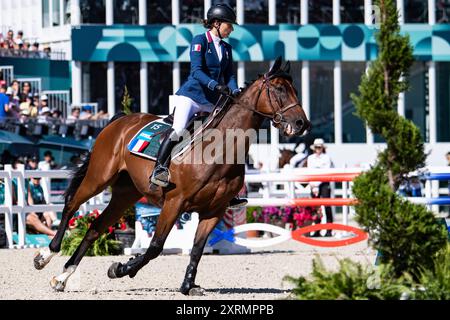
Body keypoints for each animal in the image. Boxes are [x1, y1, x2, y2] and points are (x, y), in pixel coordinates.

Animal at [33, 57, 312, 296]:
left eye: (295, 90)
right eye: (279, 89)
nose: (302, 124)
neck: (221, 150)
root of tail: (119, 121)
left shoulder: (214, 210)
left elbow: (197, 250)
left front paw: (188, 285)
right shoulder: (174, 203)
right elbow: (155, 247)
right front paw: (120, 268)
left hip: (125, 193)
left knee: (95, 227)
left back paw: (62, 277)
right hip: (98, 178)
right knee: (71, 205)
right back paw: (46, 256)